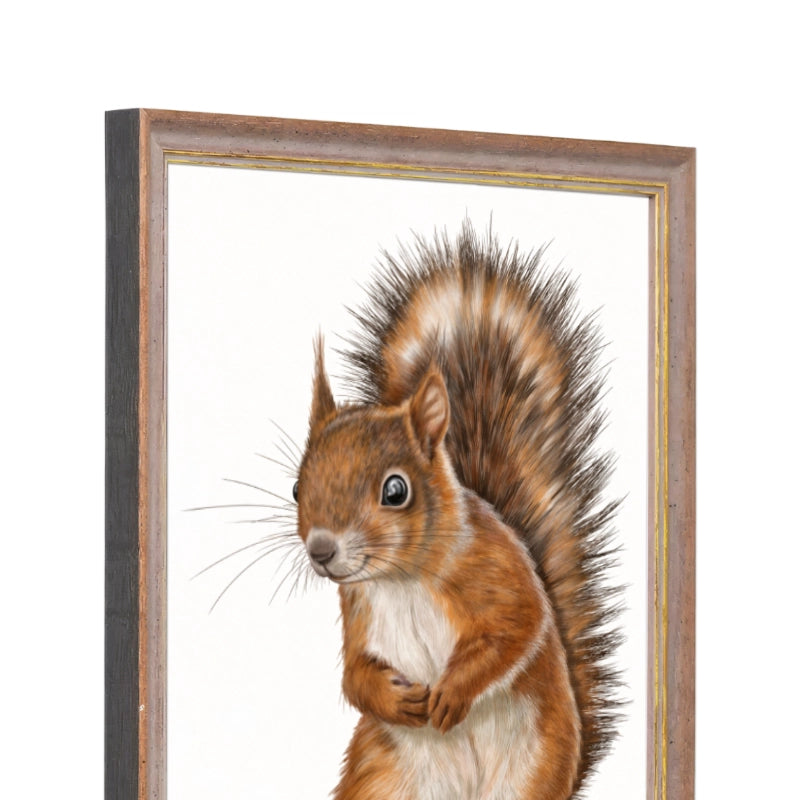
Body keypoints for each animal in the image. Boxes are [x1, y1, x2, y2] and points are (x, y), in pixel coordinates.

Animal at [292, 222, 622, 800]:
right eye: (294, 489)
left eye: (395, 490)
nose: (322, 551)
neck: (402, 579)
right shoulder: (358, 610)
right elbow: (354, 675)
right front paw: (395, 699)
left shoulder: (497, 569)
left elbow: (516, 628)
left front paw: (450, 693)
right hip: (383, 777)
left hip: (530, 772)